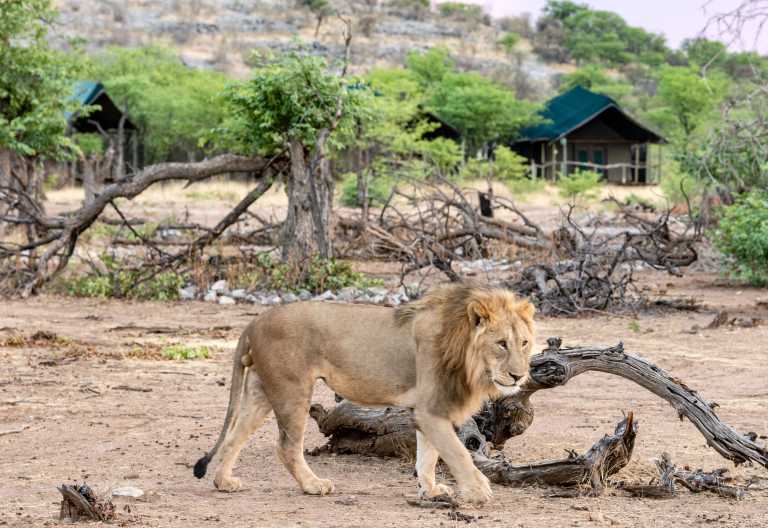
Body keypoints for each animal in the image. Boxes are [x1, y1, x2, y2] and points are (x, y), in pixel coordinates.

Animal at [193, 284, 535, 504]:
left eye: (524, 343)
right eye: (501, 344)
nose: (519, 375)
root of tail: (254, 322)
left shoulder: (426, 411)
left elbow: (428, 454)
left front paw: (430, 491)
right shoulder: (431, 409)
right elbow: (457, 452)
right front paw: (479, 490)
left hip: (261, 390)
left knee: (234, 436)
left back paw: (223, 482)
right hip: (292, 389)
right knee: (287, 447)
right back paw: (313, 485)